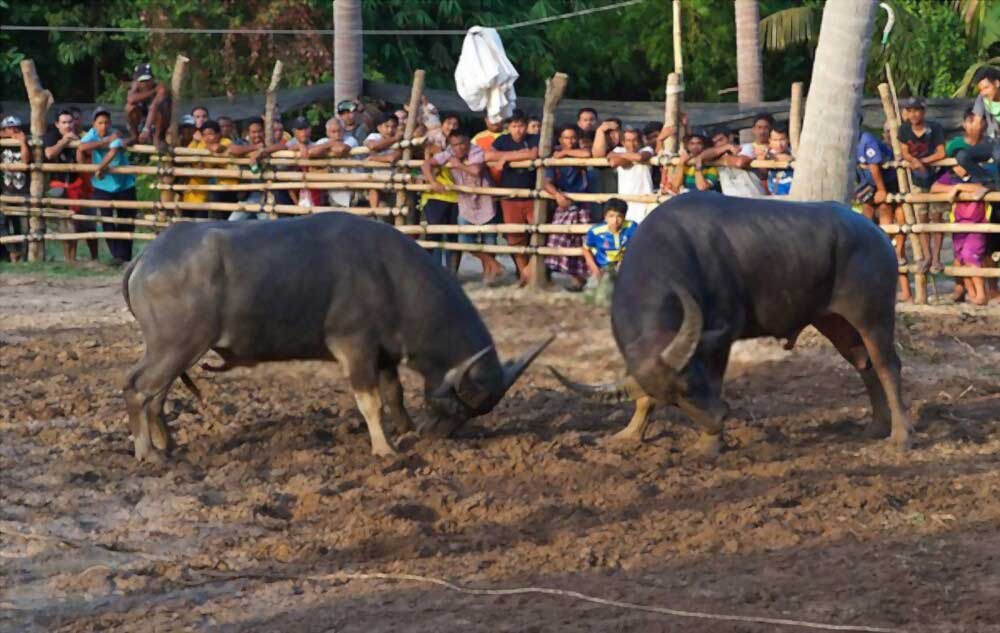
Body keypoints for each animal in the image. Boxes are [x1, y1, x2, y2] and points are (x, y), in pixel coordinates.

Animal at [123, 212, 556, 460]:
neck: (391, 276)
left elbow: (394, 396)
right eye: (454, 406)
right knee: (138, 389)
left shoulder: (384, 353)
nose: (436, 437)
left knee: (155, 395)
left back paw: (167, 445)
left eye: (468, 414)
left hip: (173, 350)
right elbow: (370, 402)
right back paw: (147, 453)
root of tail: (148, 256)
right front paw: (385, 449)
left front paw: (405, 431)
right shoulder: (354, 347)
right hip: (177, 346)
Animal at [556, 191, 916, 454]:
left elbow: (716, 382)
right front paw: (629, 434)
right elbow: (643, 396)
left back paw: (900, 437)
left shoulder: (721, 337)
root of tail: (877, 233)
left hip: (873, 316)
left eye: (690, 384)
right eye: (673, 400)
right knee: (863, 363)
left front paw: (709, 444)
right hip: (835, 321)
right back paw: (876, 427)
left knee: (887, 365)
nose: (717, 419)